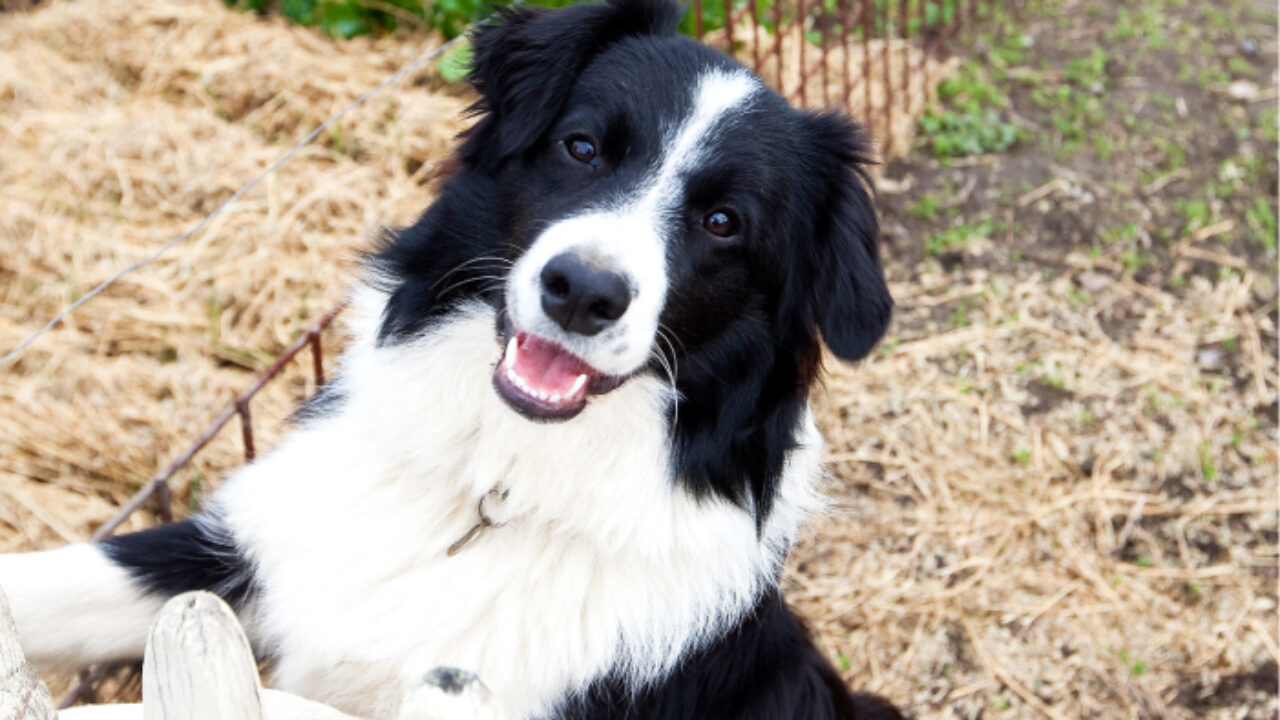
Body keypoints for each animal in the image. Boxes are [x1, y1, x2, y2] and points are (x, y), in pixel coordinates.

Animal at [0, 2, 901, 712]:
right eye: (581, 148)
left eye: (724, 223)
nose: (581, 290)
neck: (497, 486)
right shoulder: (246, 547)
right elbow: (52, 582)